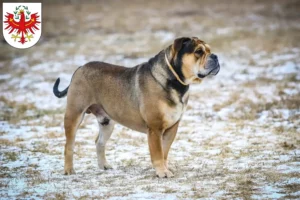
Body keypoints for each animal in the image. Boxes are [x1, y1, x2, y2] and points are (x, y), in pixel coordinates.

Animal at [52, 36, 219, 177]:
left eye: (209, 50)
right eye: (198, 51)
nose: (215, 56)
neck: (175, 80)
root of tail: (80, 68)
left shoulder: (172, 128)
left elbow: (164, 152)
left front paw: (165, 169)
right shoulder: (155, 129)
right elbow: (158, 154)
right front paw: (162, 173)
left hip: (107, 122)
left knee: (99, 142)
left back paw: (104, 165)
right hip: (75, 114)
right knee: (69, 145)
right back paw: (69, 170)